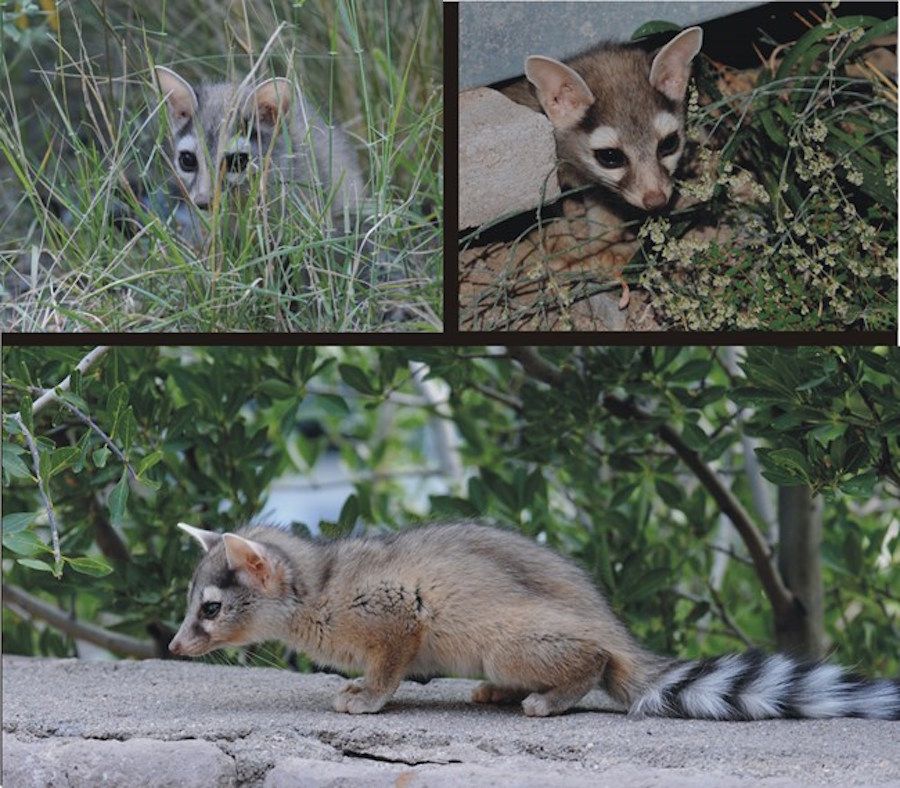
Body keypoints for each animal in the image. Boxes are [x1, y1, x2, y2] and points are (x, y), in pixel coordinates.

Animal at [171, 524, 900, 720]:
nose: (174, 646)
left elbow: (390, 664)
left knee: (592, 665)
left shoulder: (398, 616)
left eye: (210, 608)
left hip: (511, 640)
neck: (319, 585)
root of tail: (615, 632)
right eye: (192, 605)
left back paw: (550, 696)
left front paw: (370, 696)